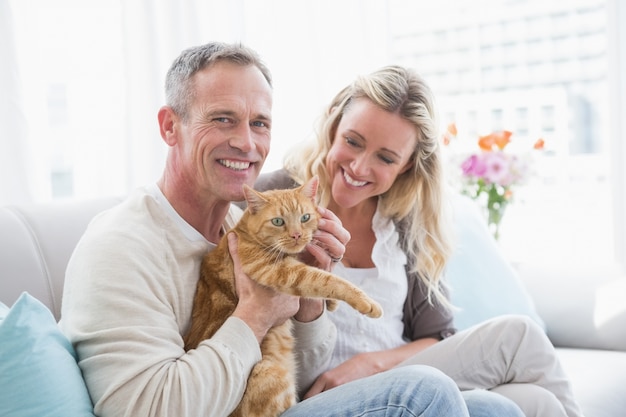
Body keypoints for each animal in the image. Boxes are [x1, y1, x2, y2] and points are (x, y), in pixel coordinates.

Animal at [183, 175, 382, 416]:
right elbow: (326, 280)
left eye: (305, 217)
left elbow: (323, 276)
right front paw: (366, 302)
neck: (244, 232)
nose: (297, 235)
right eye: (278, 221)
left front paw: (332, 303)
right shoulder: (282, 271)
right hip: (271, 372)